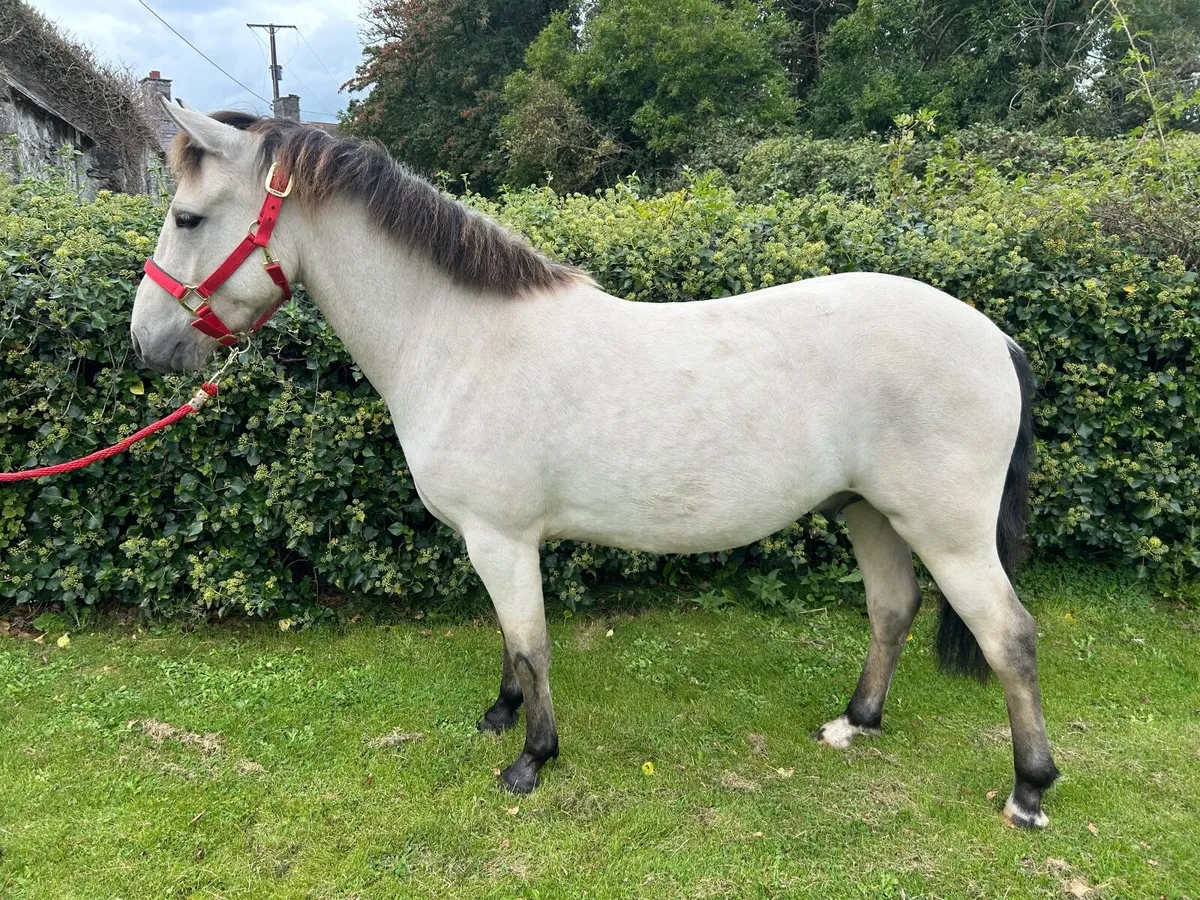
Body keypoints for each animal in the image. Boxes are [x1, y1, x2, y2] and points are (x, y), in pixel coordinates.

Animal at [130, 102, 1060, 828]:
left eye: (187, 218)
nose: (147, 341)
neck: (458, 336)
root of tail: (994, 336)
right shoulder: (494, 540)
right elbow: (510, 640)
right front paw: (501, 716)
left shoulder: (501, 538)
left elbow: (531, 643)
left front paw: (531, 758)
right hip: (868, 510)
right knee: (894, 608)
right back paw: (854, 723)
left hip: (948, 531)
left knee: (1008, 636)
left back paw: (1028, 791)